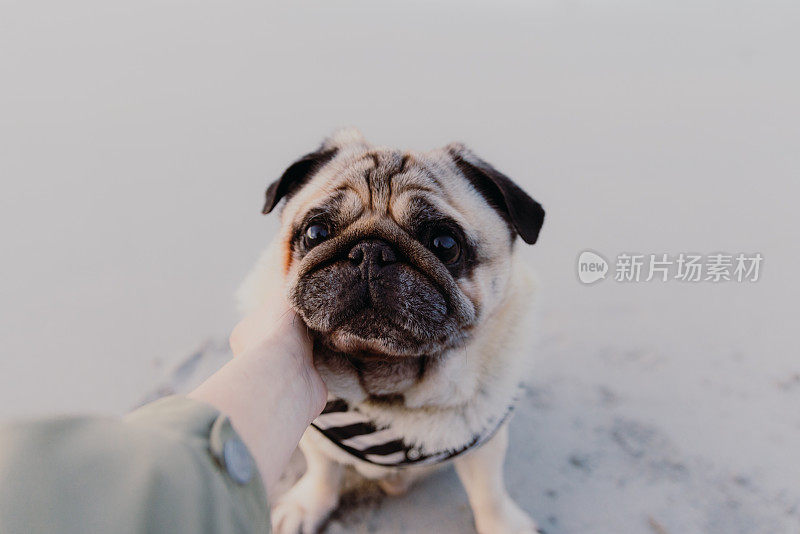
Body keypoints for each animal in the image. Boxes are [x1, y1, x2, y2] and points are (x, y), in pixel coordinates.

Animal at [239, 130, 544, 534]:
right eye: (316, 232)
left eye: (445, 245)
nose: (370, 251)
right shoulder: (315, 437)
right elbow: (324, 471)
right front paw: (309, 504)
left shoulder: (484, 446)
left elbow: (488, 491)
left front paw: (502, 524)